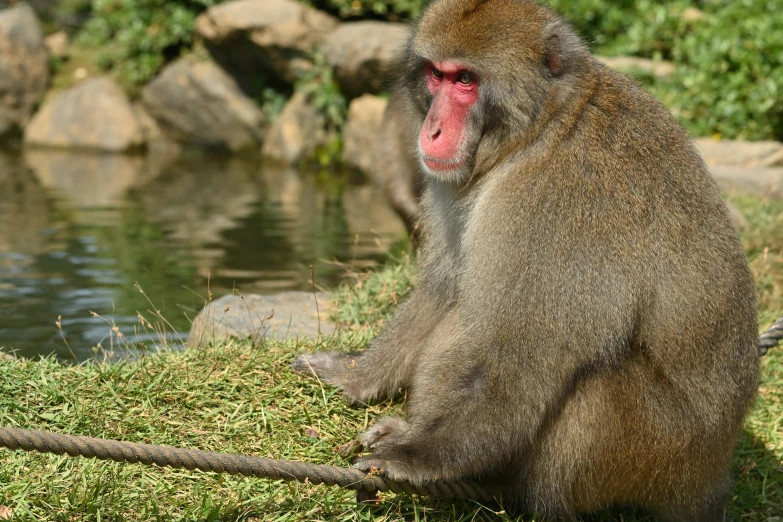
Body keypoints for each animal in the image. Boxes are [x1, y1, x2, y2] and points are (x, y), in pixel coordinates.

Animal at [292, 1, 760, 516]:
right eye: (436, 75)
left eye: (466, 80)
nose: (431, 130)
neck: (542, 128)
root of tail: (711, 475)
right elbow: (442, 290)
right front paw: (354, 374)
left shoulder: (555, 198)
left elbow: (521, 349)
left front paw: (419, 454)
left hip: (655, 453)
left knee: (584, 386)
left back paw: (496, 480)